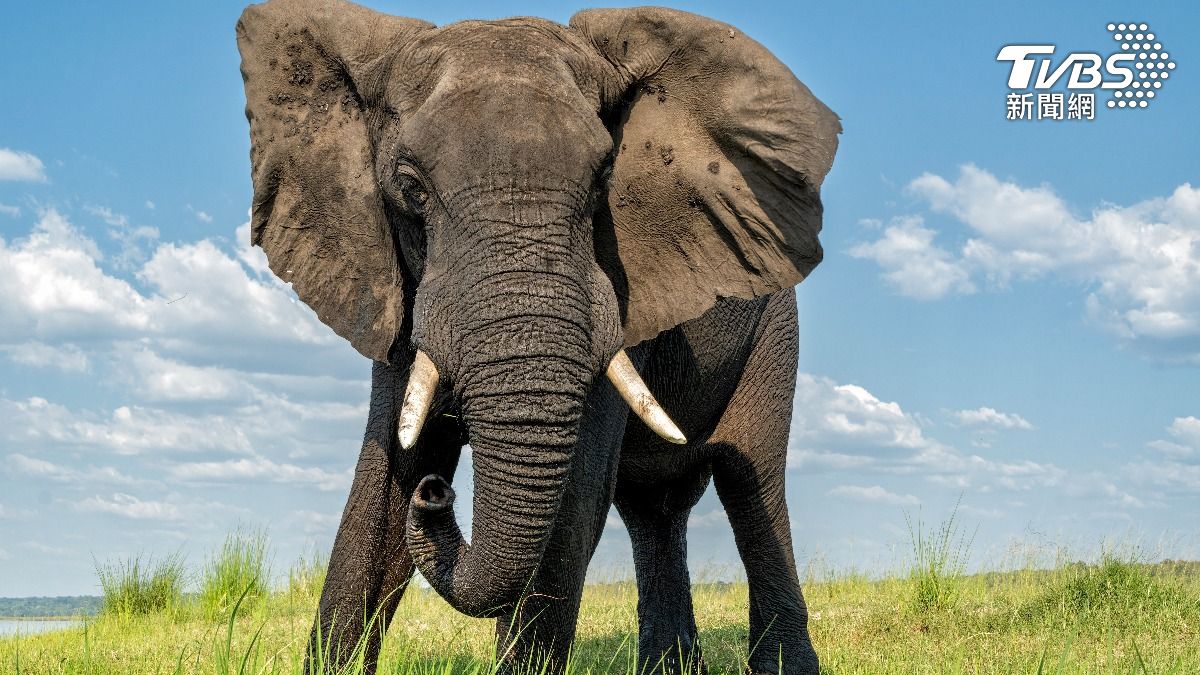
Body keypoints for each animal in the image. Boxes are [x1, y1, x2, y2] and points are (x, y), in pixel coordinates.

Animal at [236, 0, 839, 673]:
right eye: (410, 186)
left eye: (605, 178)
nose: (437, 493)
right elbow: (382, 489)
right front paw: (408, 476)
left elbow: (572, 505)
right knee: (653, 508)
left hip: (775, 328)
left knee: (750, 482)